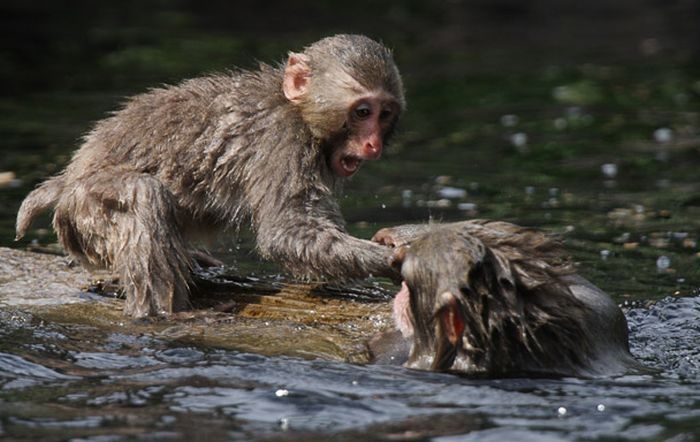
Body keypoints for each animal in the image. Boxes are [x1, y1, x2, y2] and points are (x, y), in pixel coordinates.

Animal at [15, 34, 404, 318]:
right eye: (362, 112)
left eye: (385, 114)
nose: (372, 144)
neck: (297, 109)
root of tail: (68, 178)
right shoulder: (283, 140)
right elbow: (288, 233)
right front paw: (394, 260)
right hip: (83, 210)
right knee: (144, 193)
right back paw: (161, 314)